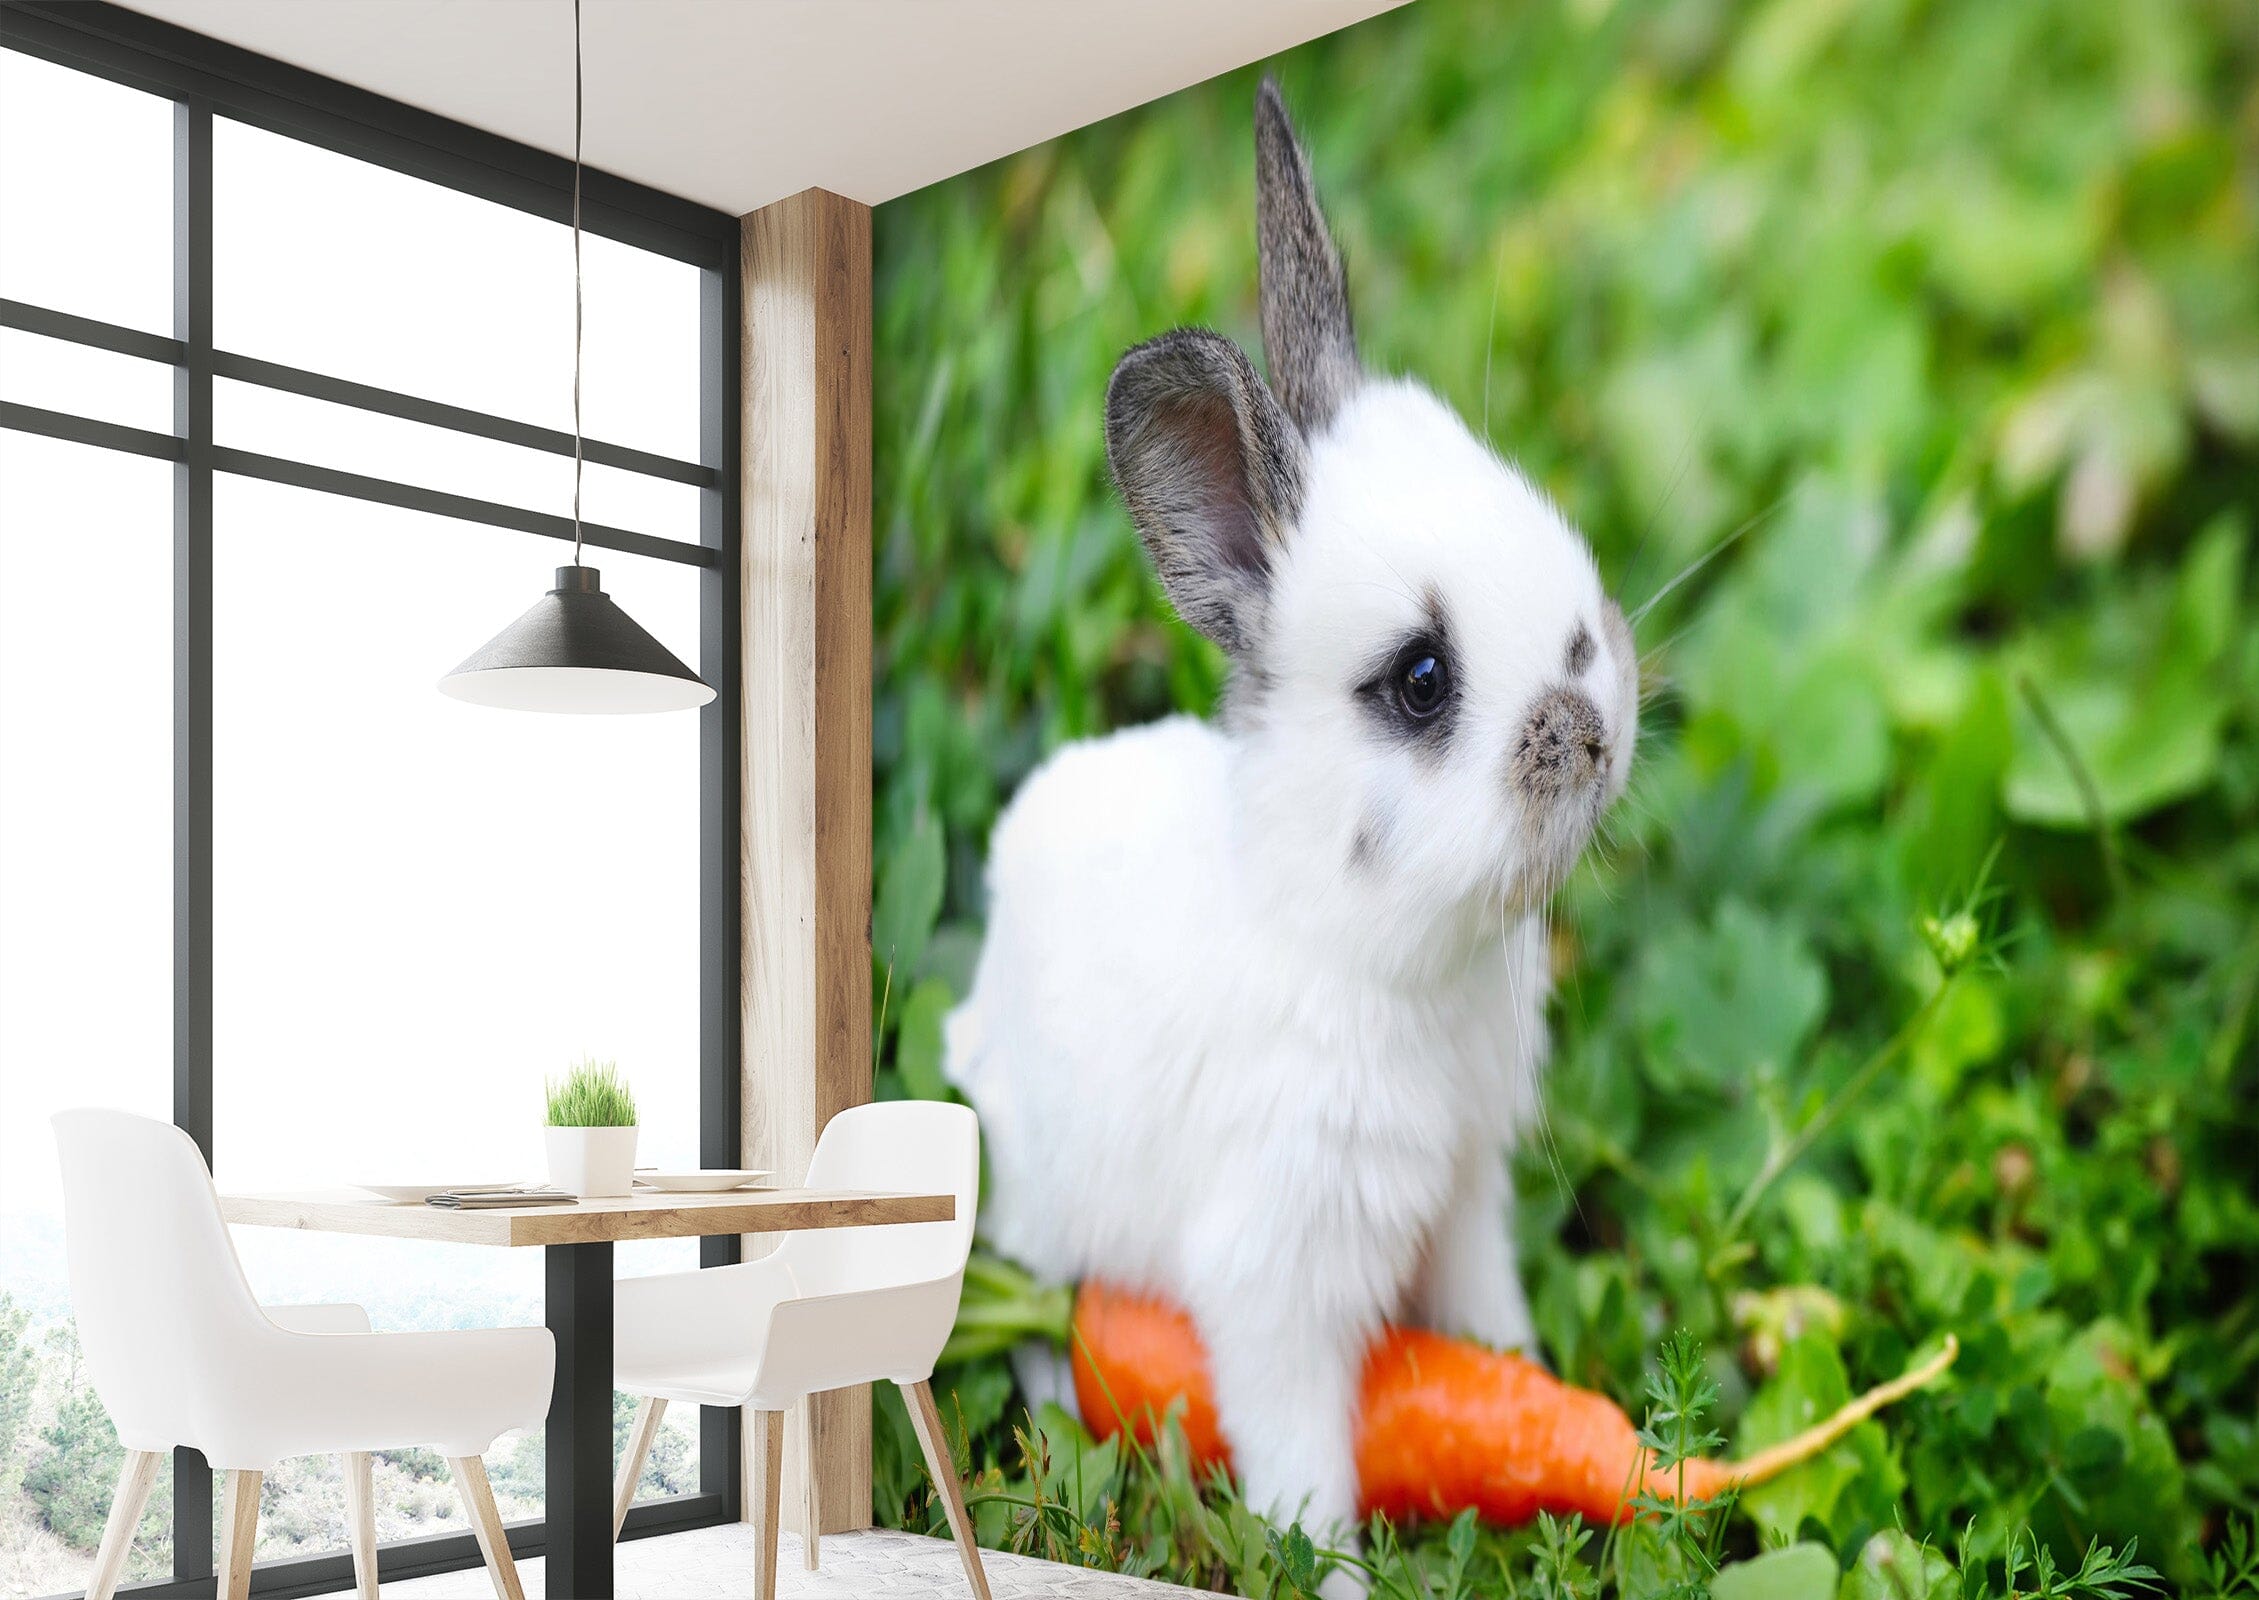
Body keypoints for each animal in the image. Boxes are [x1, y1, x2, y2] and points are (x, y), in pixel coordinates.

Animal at [943, 78, 1639, 1560]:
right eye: (1422, 679)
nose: (1596, 723)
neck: (1367, 950)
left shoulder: (1464, 1198)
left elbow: (1481, 1323)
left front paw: (1528, 1379)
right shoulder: (1273, 1279)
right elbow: (1302, 1462)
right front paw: (1333, 1571)